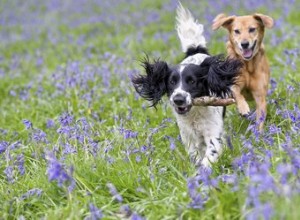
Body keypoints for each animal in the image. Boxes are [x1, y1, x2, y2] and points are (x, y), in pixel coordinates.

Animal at [131, 4, 241, 167]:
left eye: (192, 81)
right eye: (171, 82)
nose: (178, 99)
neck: (194, 114)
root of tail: (196, 50)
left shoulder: (212, 132)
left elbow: (210, 153)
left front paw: (203, 171)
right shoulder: (187, 135)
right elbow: (194, 154)